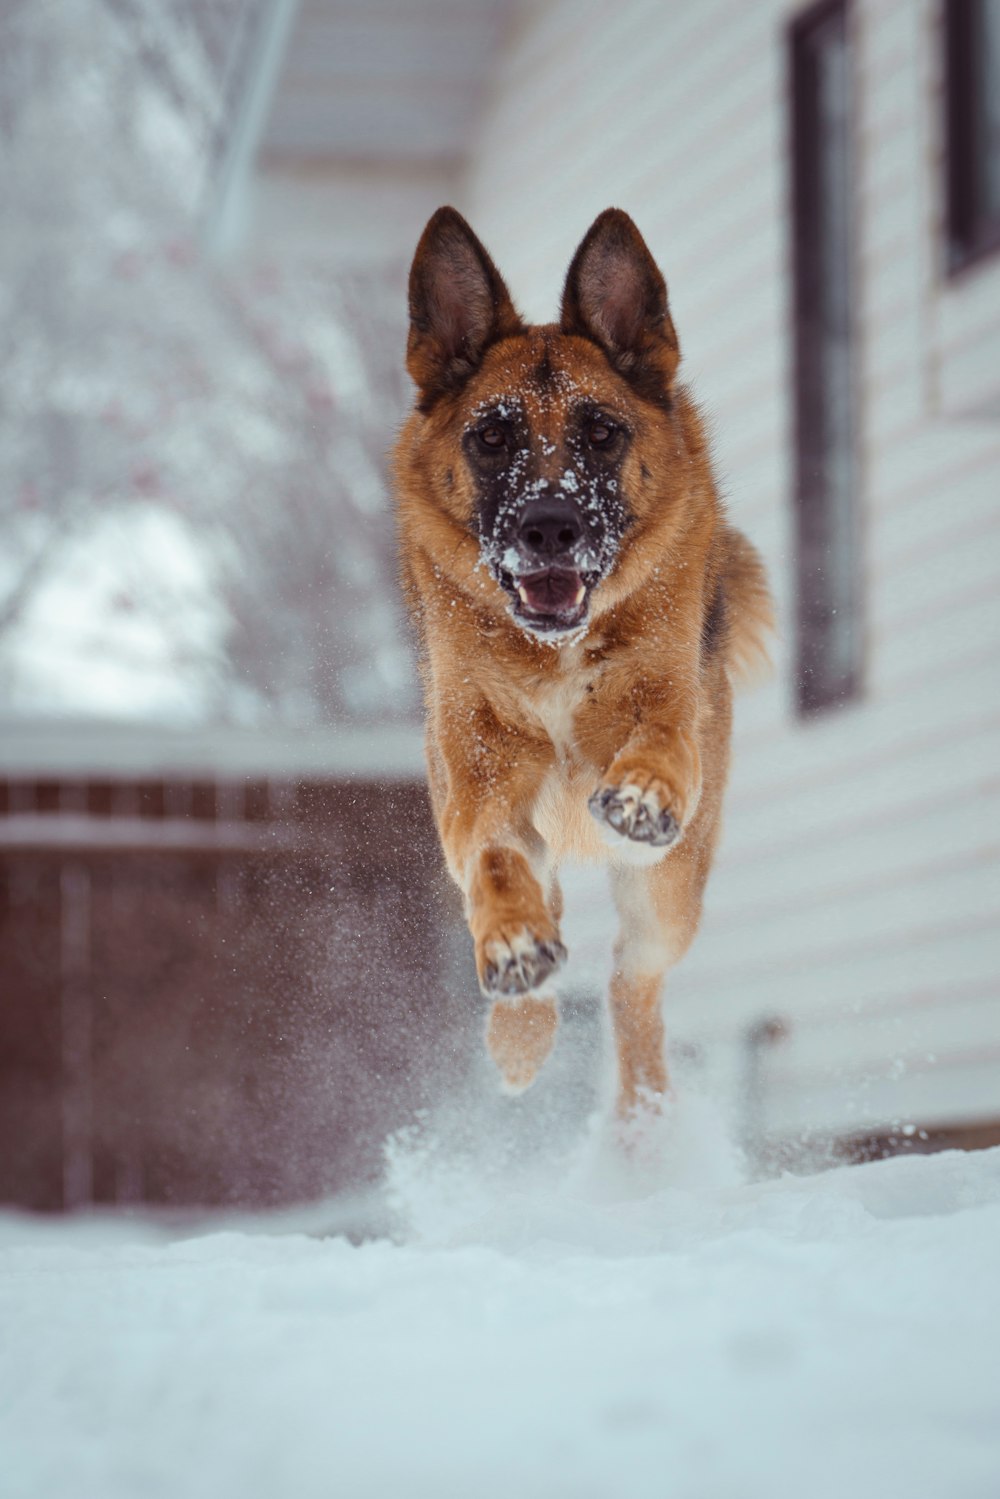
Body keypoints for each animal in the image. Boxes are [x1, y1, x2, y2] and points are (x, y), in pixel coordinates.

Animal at [392, 205, 773, 1115]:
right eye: (492, 436)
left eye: (601, 432)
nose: (550, 527)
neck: (554, 654)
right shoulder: (479, 791)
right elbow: (494, 862)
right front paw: (512, 952)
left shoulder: (668, 711)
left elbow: (660, 740)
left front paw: (640, 791)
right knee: (548, 922)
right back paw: (521, 1030)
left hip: (667, 889)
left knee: (633, 983)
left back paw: (642, 1118)